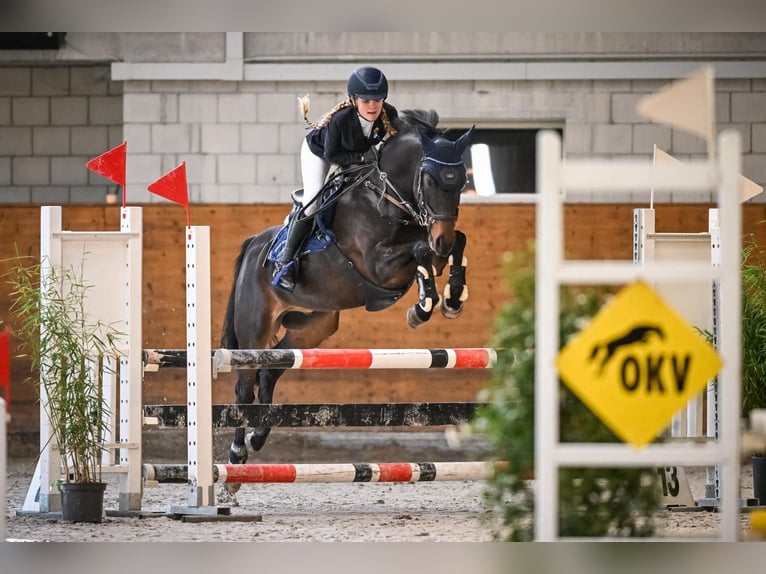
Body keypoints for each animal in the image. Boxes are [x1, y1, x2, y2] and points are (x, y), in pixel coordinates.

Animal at [219, 110, 476, 492]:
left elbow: (455, 241)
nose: (439, 239)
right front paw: (423, 306)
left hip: (313, 326)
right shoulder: (378, 265)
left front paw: (451, 299)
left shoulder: (432, 242)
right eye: (430, 180)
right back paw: (236, 458)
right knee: (244, 385)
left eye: (460, 182)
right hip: (256, 326)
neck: (388, 199)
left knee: (269, 372)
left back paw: (258, 437)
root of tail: (254, 246)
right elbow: (419, 252)